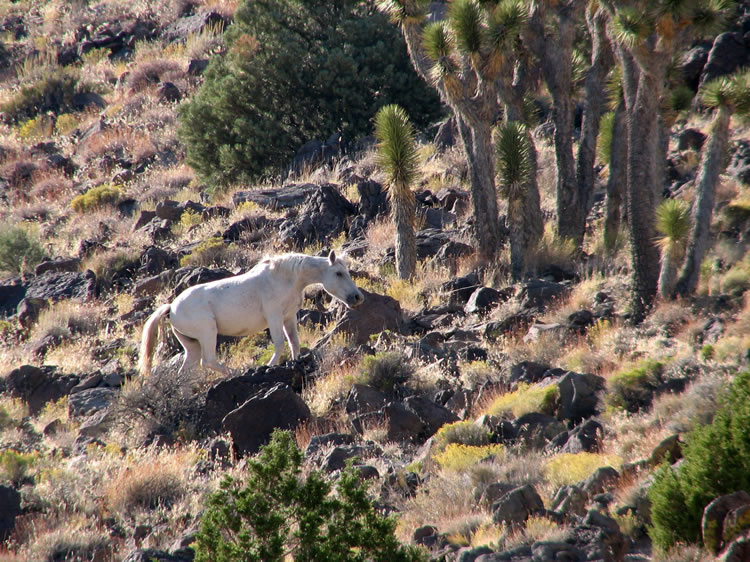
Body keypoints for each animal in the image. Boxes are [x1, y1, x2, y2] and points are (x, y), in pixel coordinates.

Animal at [142, 250, 368, 376]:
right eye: (338, 273)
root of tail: (171, 308)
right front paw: (269, 366)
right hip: (208, 333)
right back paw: (236, 373)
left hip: (192, 345)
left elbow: (294, 343)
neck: (285, 278)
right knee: (208, 361)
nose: (357, 298)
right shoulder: (274, 316)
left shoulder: (289, 318)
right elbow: (280, 343)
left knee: (187, 370)